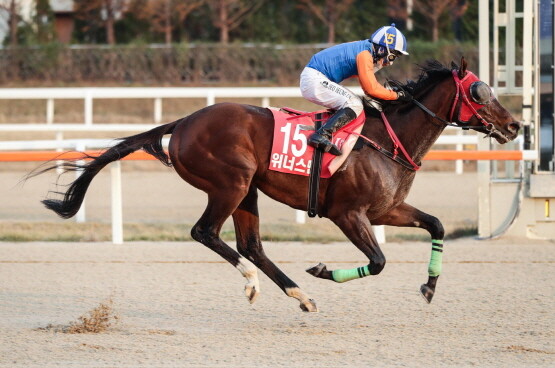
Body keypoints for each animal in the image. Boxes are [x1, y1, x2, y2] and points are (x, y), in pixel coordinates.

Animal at [33, 57, 520, 310]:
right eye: (479, 92)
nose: (515, 126)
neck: (386, 139)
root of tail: (185, 121)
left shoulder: (386, 210)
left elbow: (436, 225)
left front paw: (429, 287)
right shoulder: (348, 214)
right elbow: (379, 261)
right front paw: (323, 270)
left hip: (247, 190)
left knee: (251, 245)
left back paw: (299, 295)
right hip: (230, 183)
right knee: (205, 232)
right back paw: (256, 282)